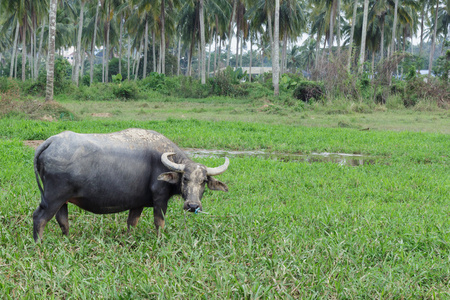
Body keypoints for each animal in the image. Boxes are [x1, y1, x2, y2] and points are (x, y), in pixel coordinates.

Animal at [32, 129, 229, 241]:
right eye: (185, 179)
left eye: (203, 181)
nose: (193, 205)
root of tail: (51, 141)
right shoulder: (160, 199)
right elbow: (159, 222)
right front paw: (160, 240)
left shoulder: (137, 203)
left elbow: (131, 223)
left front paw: (130, 240)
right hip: (53, 198)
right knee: (39, 218)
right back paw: (39, 244)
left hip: (62, 200)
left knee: (62, 220)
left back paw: (68, 240)